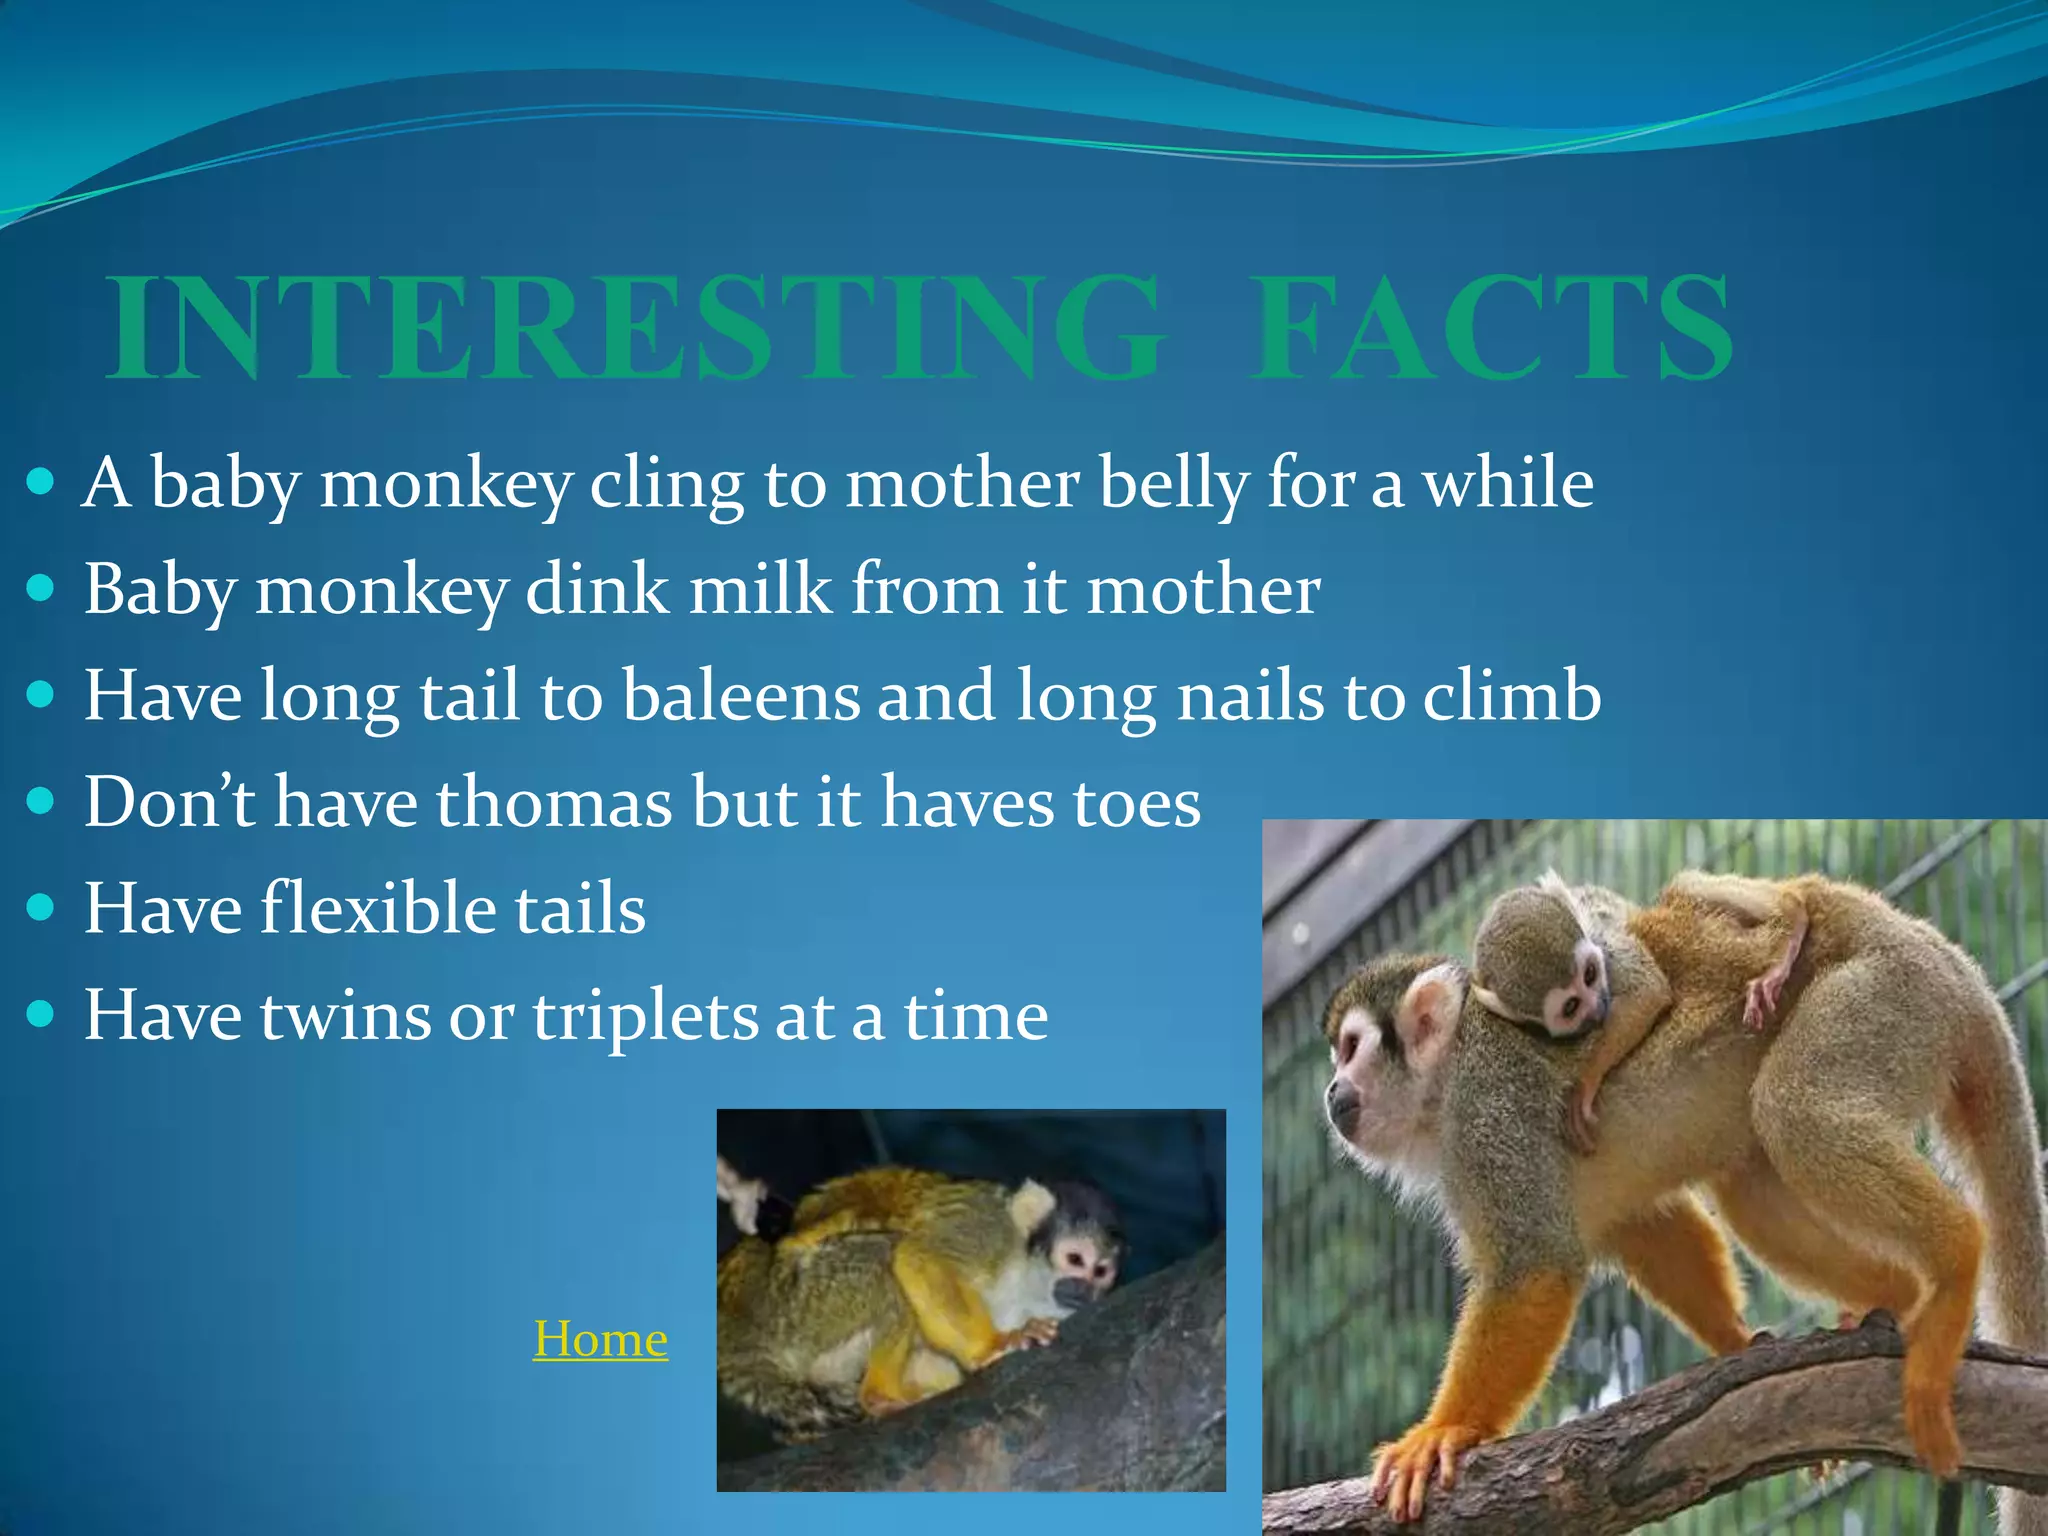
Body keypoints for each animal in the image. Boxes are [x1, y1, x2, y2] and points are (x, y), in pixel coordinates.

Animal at [1470, 870, 1809, 1151]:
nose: (1598, 1007)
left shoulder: (1603, 940)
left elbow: (1648, 990)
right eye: (1571, 1007)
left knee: (1682, 885)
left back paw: (1793, 917)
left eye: (1590, 974)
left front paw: (1586, 1083)